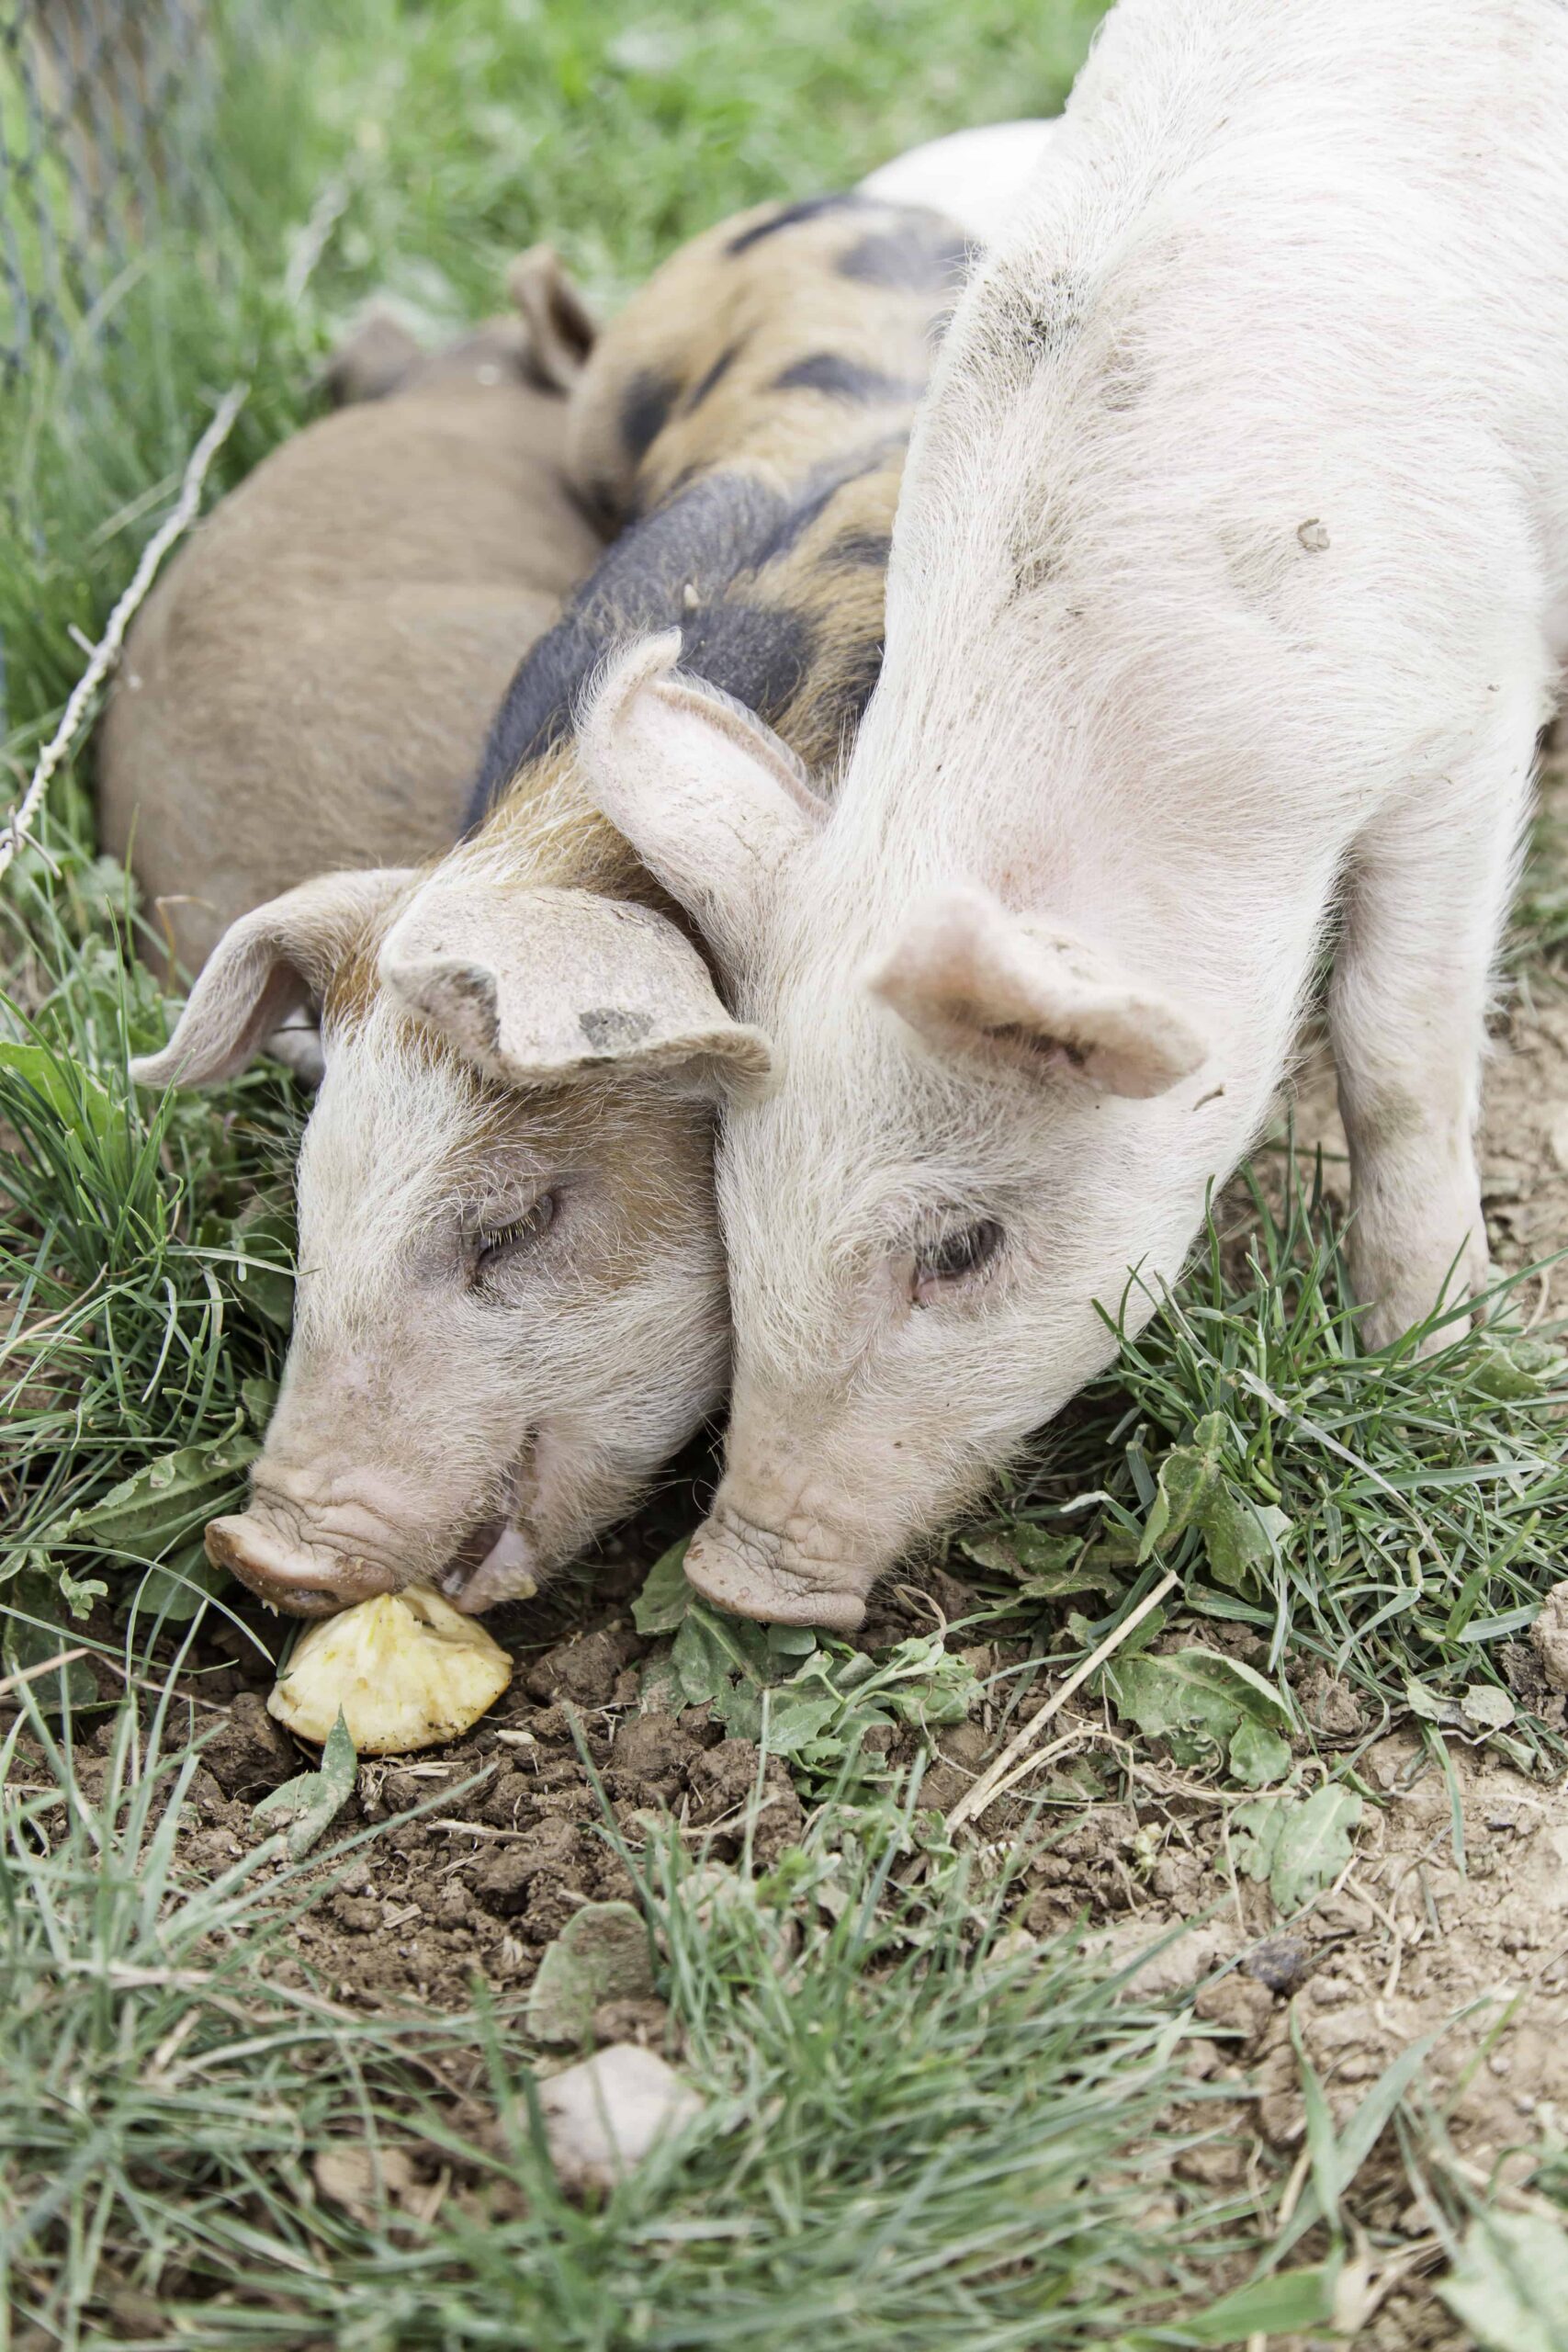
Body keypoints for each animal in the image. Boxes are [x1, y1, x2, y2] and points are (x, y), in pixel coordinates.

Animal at [581, 0, 1568, 1632]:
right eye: (731, 1198)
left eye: (960, 1247)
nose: (737, 1575)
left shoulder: (1465, 705)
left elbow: (1392, 1048)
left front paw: (1434, 1343)